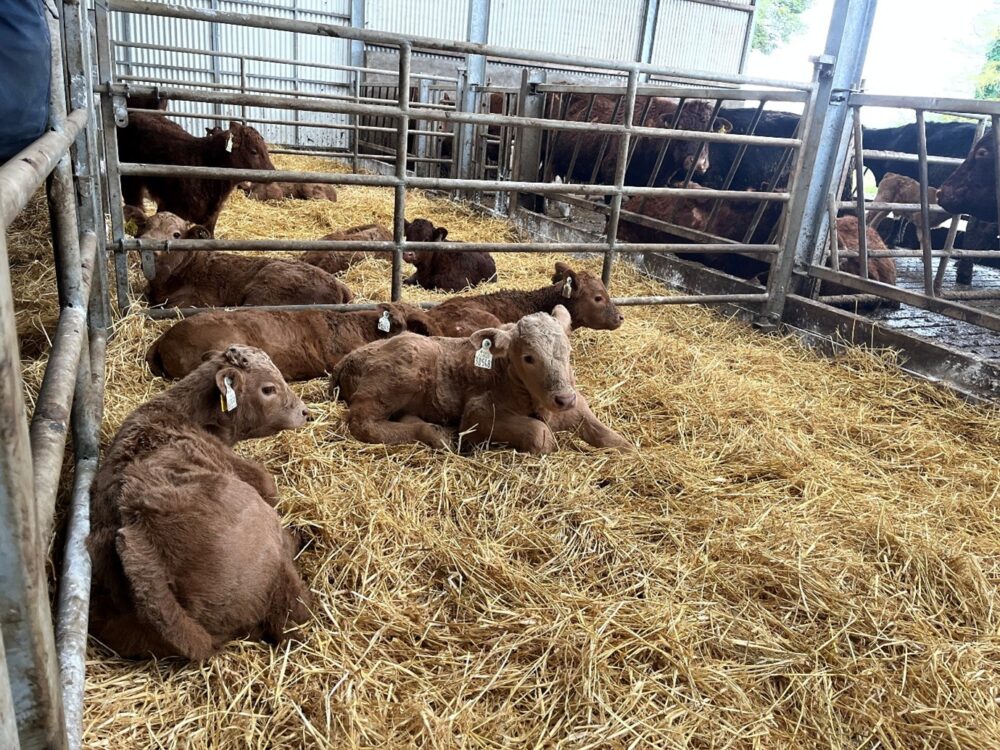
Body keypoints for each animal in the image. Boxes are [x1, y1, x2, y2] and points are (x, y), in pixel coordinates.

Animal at [87, 345, 311, 659]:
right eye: (268, 389)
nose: (305, 412)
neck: (183, 413)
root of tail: (139, 538)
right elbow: (269, 484)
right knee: (292, 614)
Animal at [331, 306, 631, 454]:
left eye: (568, 351)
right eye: (528, 357)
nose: (564, 398)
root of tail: (347, 359)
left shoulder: (575, 405)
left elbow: (609, 436)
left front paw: (631, 451)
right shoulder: (477, 414)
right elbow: (540, 434)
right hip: (396, 376)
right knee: (362, 423)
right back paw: (435, 434)